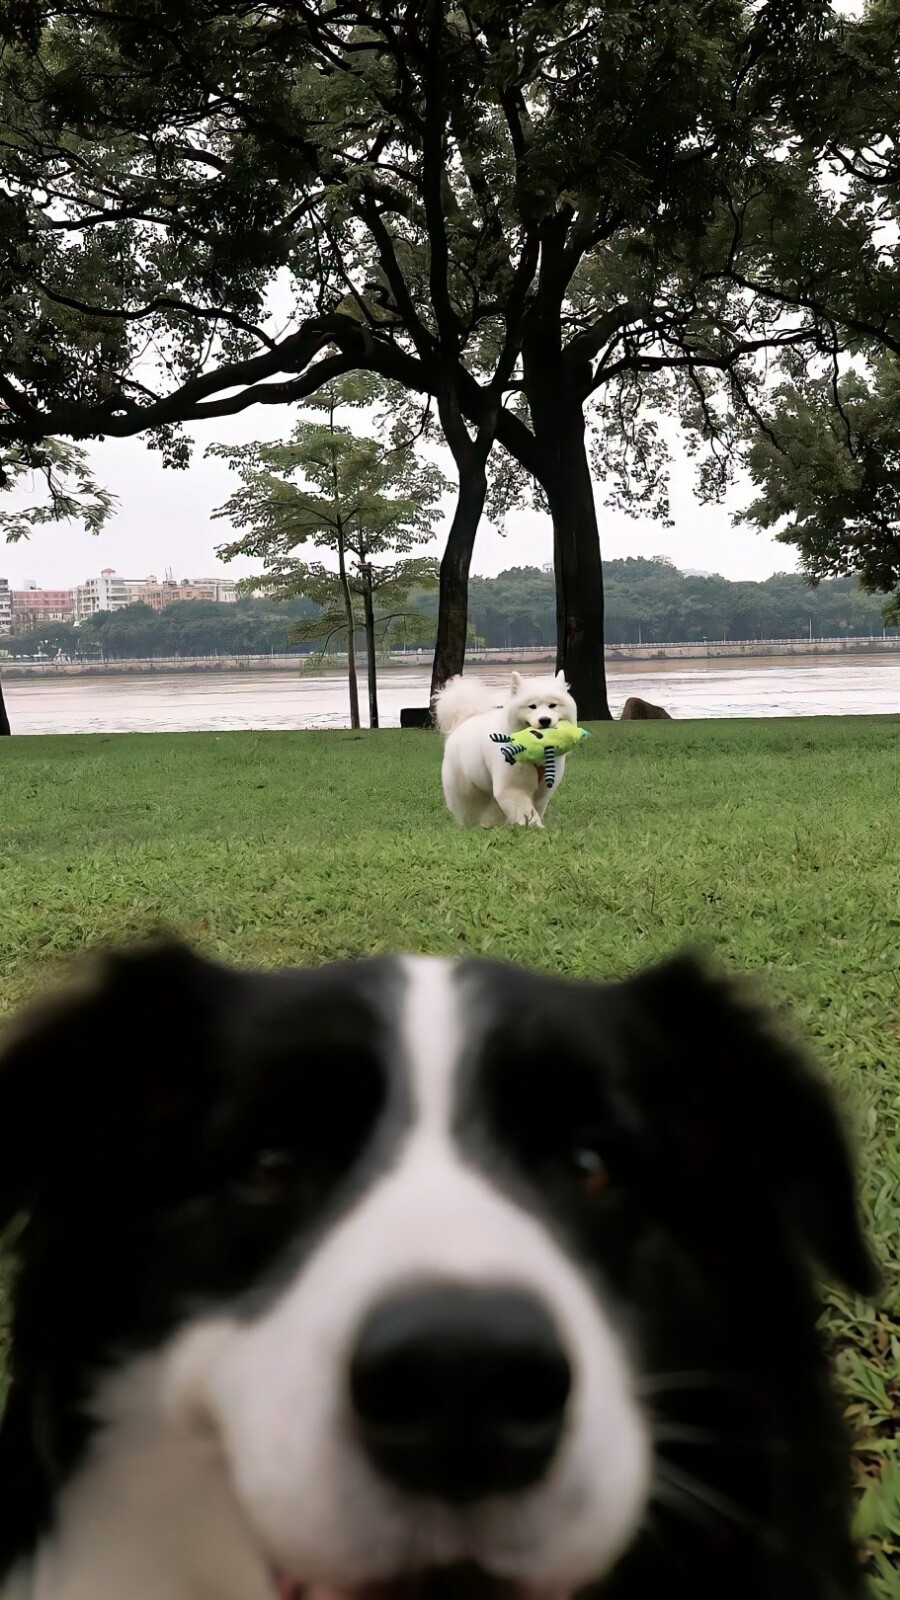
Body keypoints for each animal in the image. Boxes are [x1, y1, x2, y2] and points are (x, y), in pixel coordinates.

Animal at [432, 668, 573, 832]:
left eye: (552, 705)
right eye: (532, 706)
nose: (545, 720)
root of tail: (463, 721)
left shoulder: (543, 790)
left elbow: (535, 807)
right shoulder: (512, 787)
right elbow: (525, 809)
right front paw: (534, 827)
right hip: (467, 788)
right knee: (470, 808)